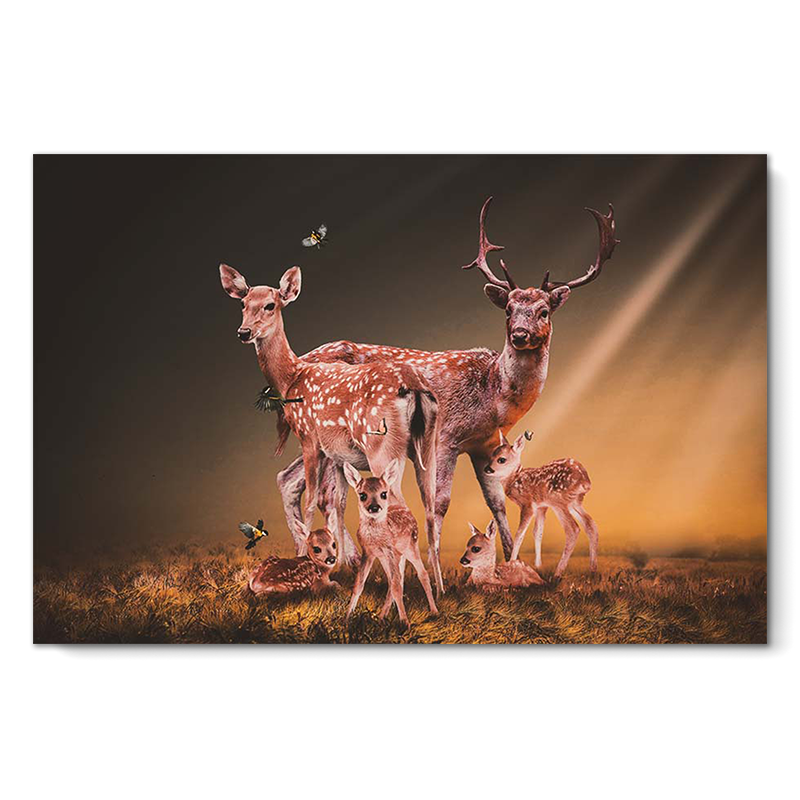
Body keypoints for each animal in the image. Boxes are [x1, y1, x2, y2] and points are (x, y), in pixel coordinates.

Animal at [219, 264, 442, 588]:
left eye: (271, 305)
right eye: (243, 304)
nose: (244, 332)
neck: (292, 377)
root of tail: (412, 385)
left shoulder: (310, 438)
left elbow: (312, 500)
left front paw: (304, 556)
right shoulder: (337, 455)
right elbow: (336, 503)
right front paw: (332, 561)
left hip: (382, 446)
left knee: (400, 506)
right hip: (428, 446)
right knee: (431, 510)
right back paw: (438, 586)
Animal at [343, 459, 438, 627]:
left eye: (383, 494)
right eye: (362, 495)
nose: (374, 507)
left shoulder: (389, 550)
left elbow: (396, 586)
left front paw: (405, 623)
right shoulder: (369, 552)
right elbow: (358, 584)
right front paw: (347, 618)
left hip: (410, 547)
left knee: (422, 574)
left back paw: (434, 611)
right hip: (391, 557)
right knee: (394, 581)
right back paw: (381, 617)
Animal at [482, 431, 598, 576]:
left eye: (501, 459)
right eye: (491, 455)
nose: (487, 469)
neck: (514, 479)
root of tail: (585, 480)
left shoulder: (528, 504)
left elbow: (519, 534)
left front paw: (512, 563)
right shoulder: (541, 507)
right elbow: (537, 532)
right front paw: (538, 565)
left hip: (558, 501)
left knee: (573, 529)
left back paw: (558, 572)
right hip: (574, 502)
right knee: (590, 524)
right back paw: (592, 570)